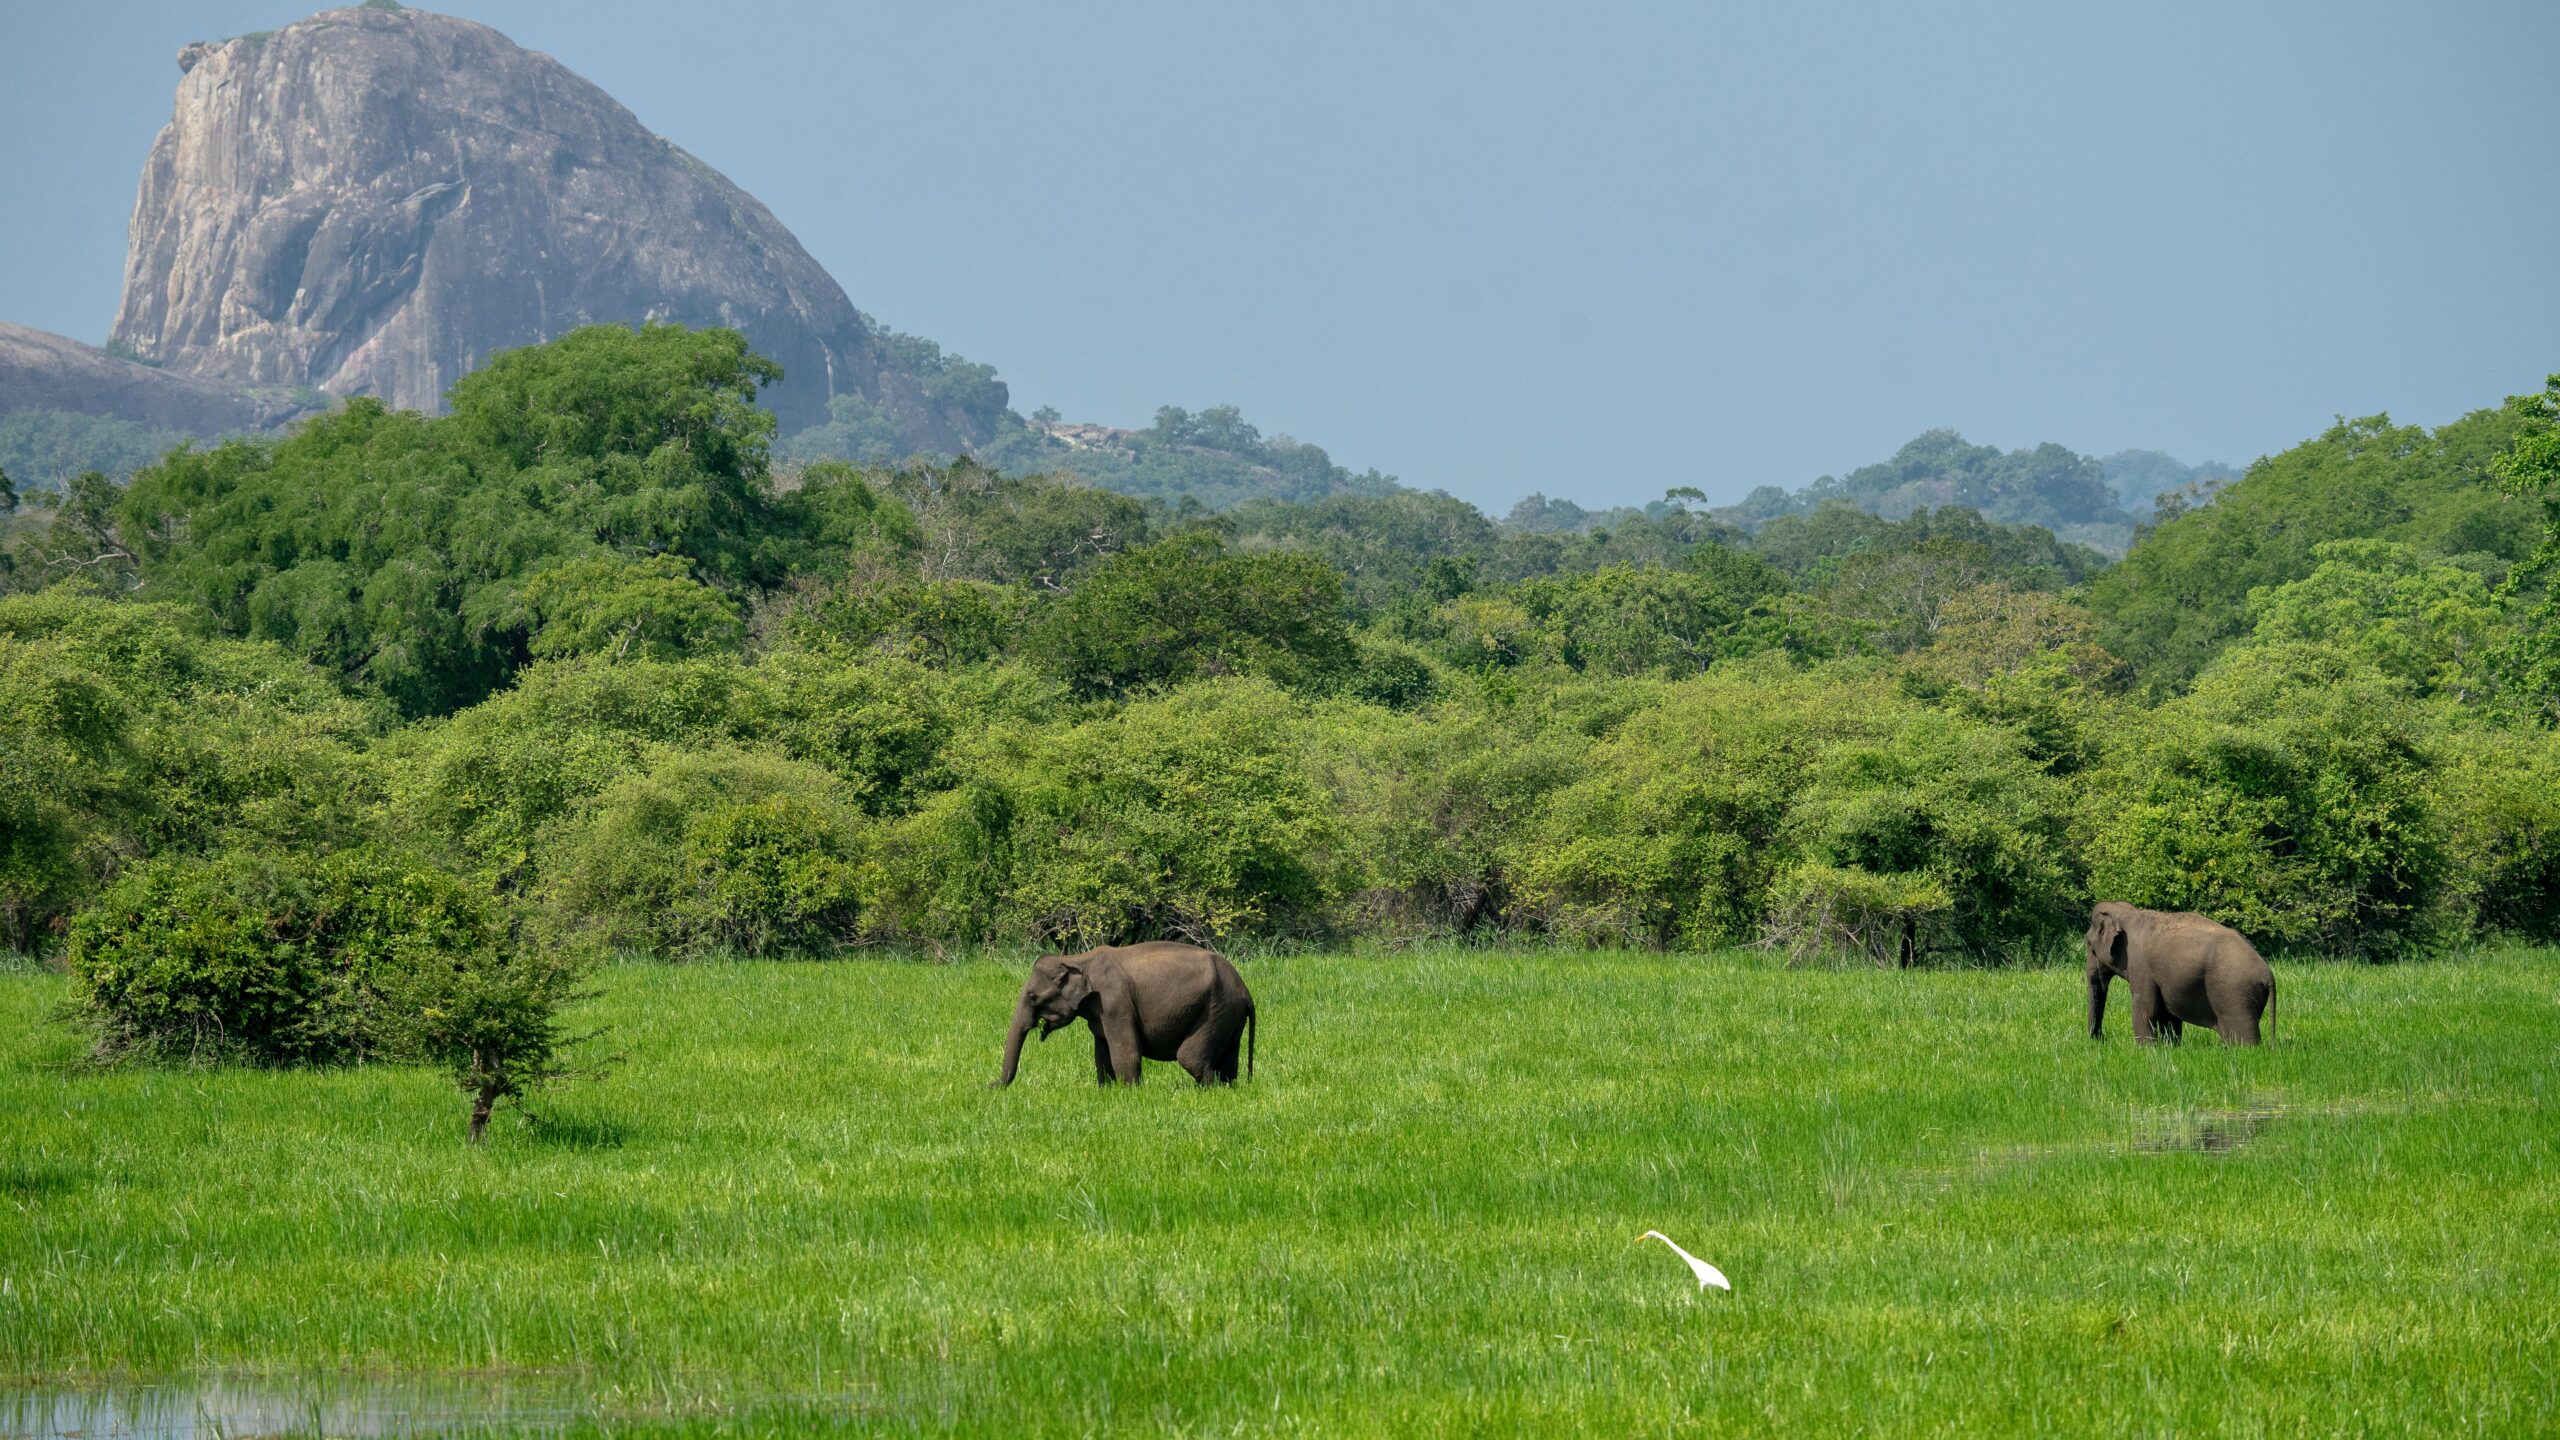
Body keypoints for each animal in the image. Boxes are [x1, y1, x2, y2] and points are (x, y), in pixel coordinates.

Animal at [992, 942, 1256, 1087]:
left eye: (1032, 997)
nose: (989, 1086)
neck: (1078, 960)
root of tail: (1246, 991)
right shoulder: (1098, 1012)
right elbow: (1101, 1052)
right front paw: (1107, 1091)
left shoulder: (1115, 1003)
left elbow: (1125, 1050)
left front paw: (1131, 1093)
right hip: (1228, 1017)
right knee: (1227, 1060)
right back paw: (1227, 1088)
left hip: (1214, 1010)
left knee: (1190, 1058)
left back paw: (1210, 1090)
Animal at [2085, 902, 2275, 1046]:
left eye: (2088, 944)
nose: (2102, 1040)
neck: (2127, 912)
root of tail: (2268, 975)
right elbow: (2168, 1014)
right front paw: (2171, 1047)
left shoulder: (2141, 966)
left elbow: (2146, 1009)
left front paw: (2146, 1050)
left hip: (2235, 996)